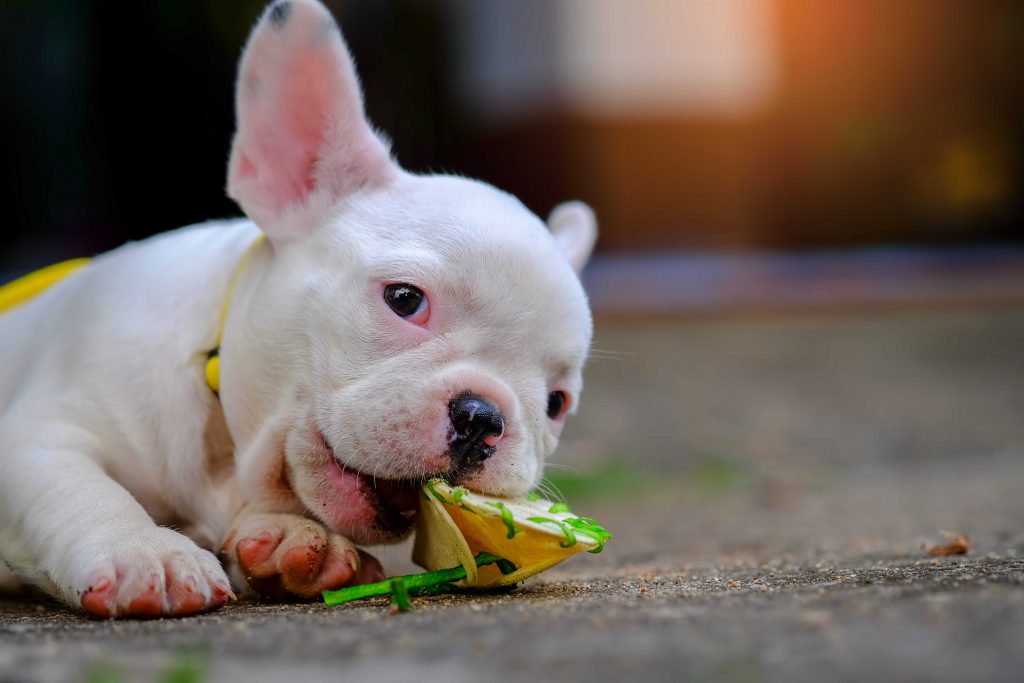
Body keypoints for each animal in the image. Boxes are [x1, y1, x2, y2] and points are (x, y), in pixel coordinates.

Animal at [0, 0, 598, 618]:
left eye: (557, 403)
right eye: (404, 299)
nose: (483, 418)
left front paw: (292, 539)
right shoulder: (37, 435)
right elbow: (81, 487)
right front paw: (144, 549)